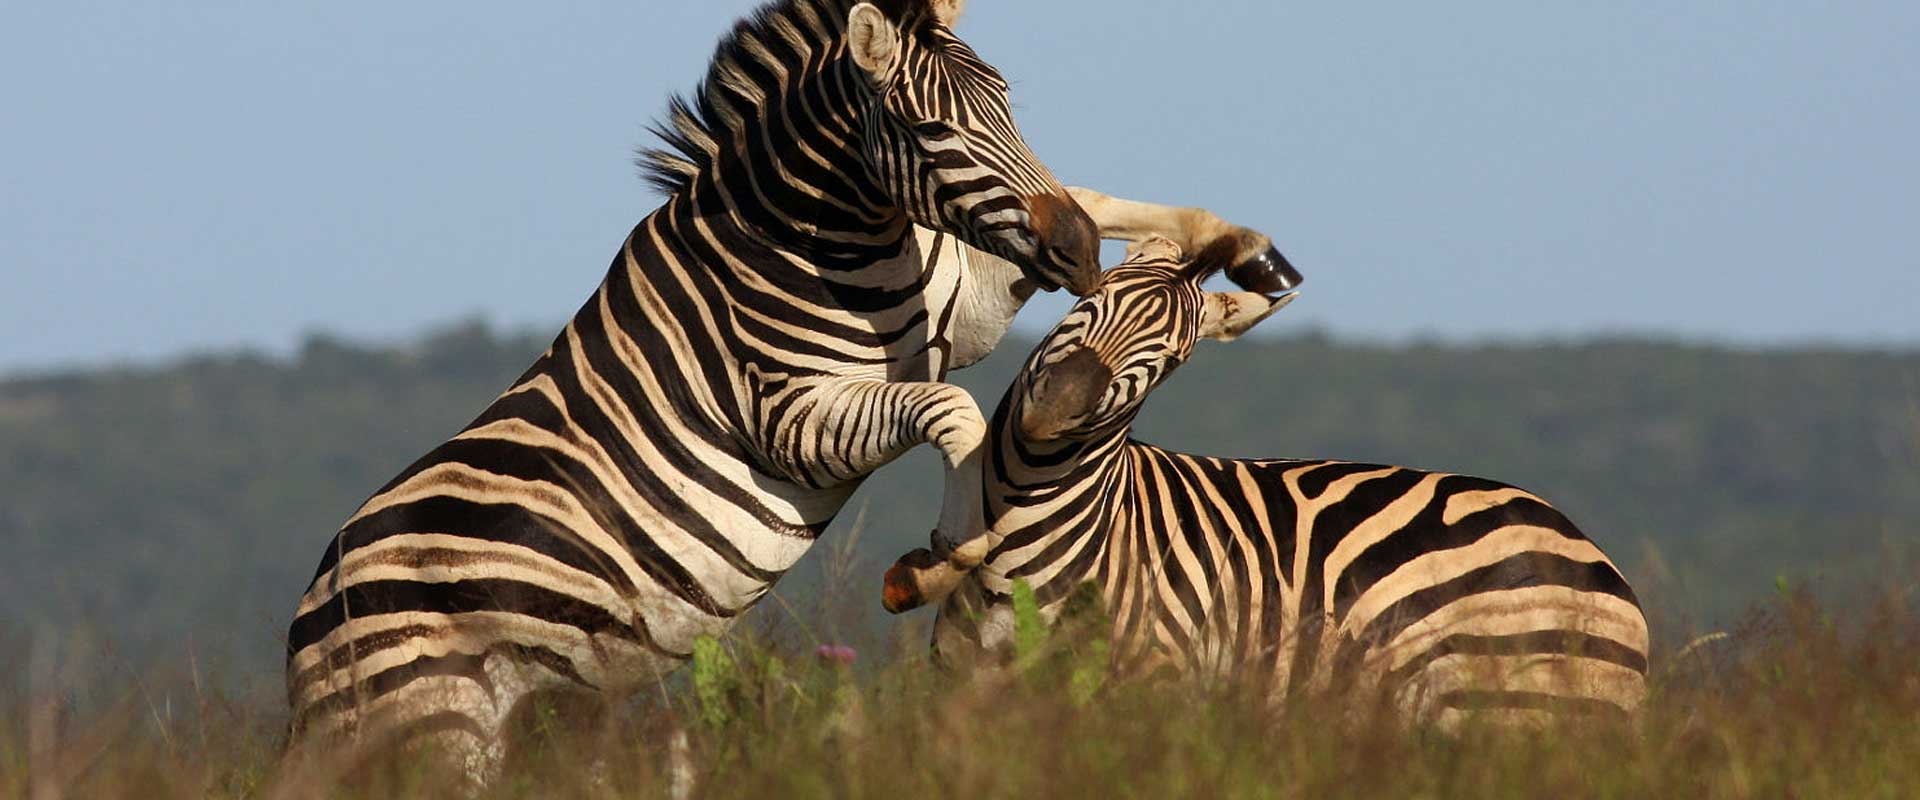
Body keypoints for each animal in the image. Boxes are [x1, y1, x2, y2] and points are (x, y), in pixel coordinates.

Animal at [284, 0, 1297, 775]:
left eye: (1009, 103)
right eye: (931, 131)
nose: (1078, 257)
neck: (827, 239)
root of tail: (306, 617)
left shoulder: (959, 307)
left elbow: (1089, 191)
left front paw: (1242, 250)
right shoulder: (790, 418)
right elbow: (953, 413)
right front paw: (948, 551)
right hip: (431, 728)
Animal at [883, 235, 1651, 721]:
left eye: (1171, 359)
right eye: (1087, 302)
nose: (1054, 409)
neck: (1021, 538)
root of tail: (1594, 555)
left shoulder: (1148, 685)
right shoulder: (967, 690)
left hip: (1515, 710)